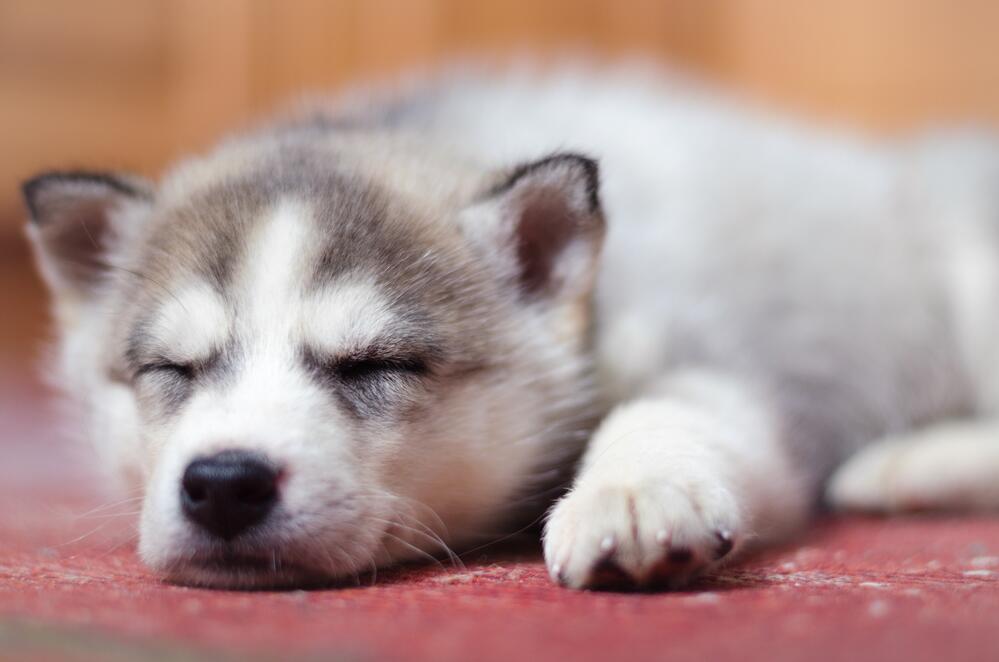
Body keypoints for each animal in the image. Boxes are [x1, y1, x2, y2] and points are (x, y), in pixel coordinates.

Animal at [23, 65, 999, 590]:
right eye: (172, 369)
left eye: (374, 364)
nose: (224, 483)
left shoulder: (719, 361)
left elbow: (669, 410)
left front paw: (631, 492)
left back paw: (904, 464)